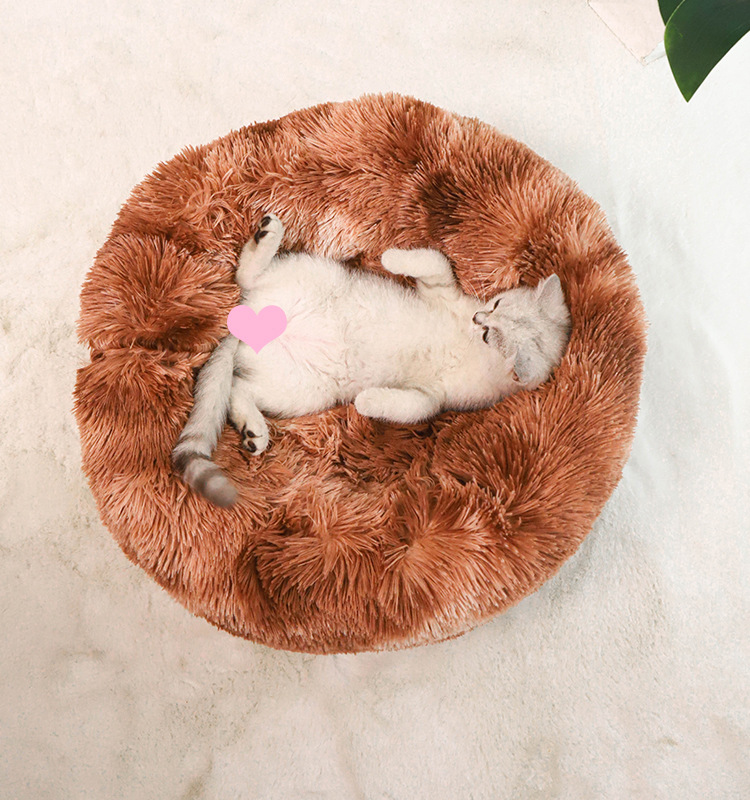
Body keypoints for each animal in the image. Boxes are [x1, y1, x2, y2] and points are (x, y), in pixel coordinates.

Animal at [172, 213, 572, 507]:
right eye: (495, 304)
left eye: (491, 333)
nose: (478, 319)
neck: (471, 344)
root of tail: (247, 324)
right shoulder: (442, 292)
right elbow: (436, 261)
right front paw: (392, 258)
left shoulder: (435, 397)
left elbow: (413, 407)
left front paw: (368, 401)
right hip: (313, 276)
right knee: (246, 278)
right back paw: (267, 236)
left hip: (303, 390)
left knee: (239, 387)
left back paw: (254, 429)